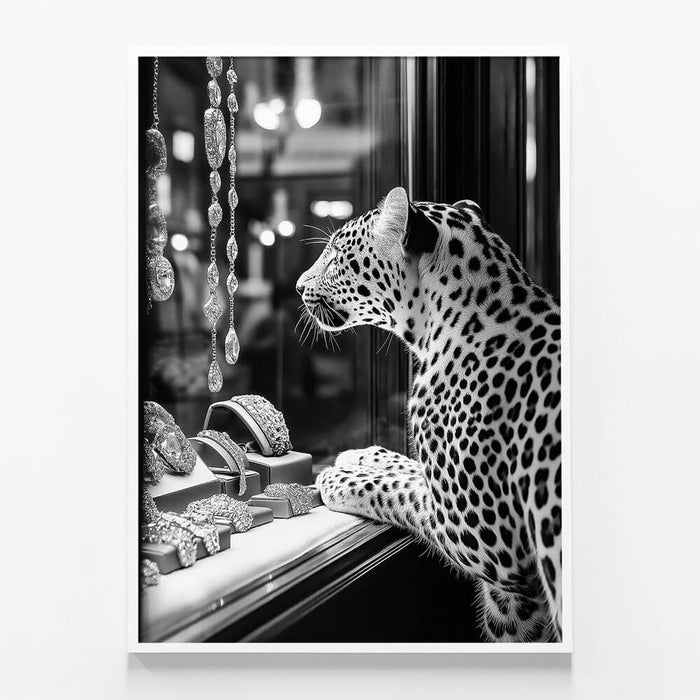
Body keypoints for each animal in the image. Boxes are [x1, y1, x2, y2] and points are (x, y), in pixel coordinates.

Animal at [296, 186, 562, 643]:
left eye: (334, 258)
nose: (297, 287)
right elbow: (410, 467)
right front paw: (361, 455)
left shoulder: (485, 539)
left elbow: (394, 490)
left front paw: (338, 477)